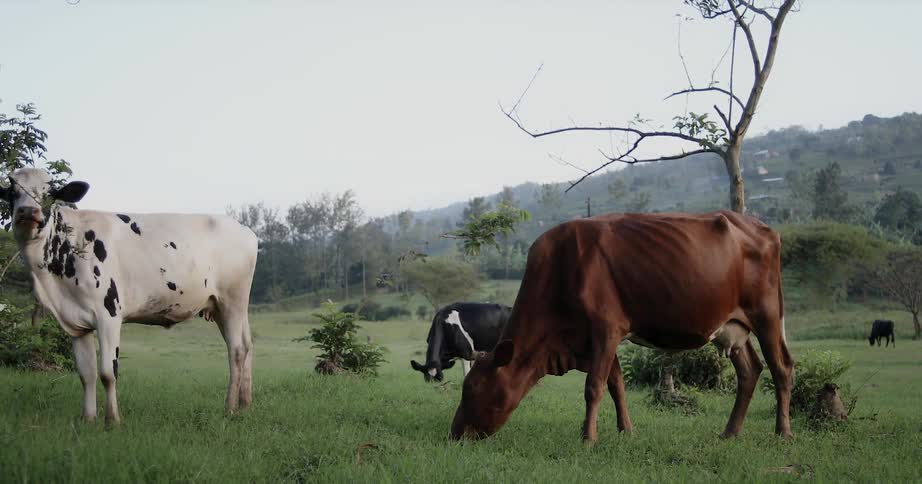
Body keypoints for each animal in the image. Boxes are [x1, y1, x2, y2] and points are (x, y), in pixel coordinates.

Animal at [1, 168, 258, 424]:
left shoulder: (108, 314)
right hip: (223, 307)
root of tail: (244, 230)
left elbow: (107, 373)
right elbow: (86, 374)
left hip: (233, 300)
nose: (28, 211)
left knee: (236, 350)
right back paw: (245, 404)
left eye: (50, 193)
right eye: (12, 191)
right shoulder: (76, 323)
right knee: (247, 345)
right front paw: (88, 419)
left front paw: (112, 420)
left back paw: (230, 408)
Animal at [450, 211, 795, 442]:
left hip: (766, 314)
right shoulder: (594, 338)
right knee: (750, 371)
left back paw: (783, 432)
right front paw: (625, 430)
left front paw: (588, 438)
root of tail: (761, 228)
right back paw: (730, 432)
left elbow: (594, 386)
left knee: (781, 368)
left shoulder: (606, 327)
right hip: (733, 326)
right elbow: (616, 383)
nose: (455, 433)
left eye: (473, 388)